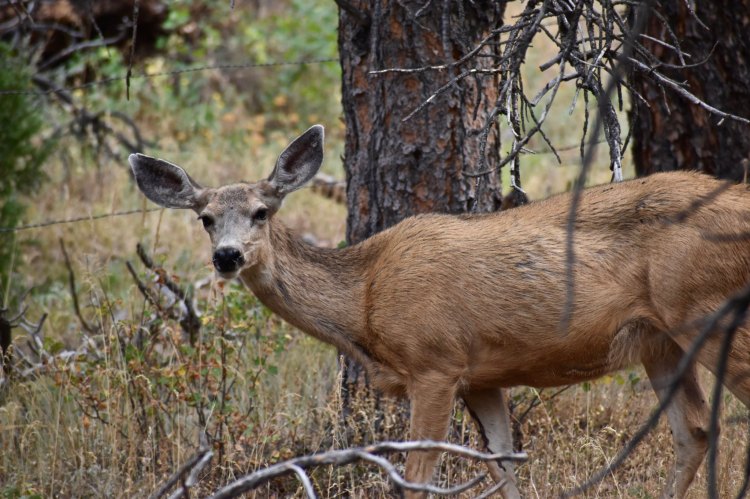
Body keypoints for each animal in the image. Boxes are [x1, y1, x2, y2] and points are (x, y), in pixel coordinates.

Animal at [129, 125, 750, 498]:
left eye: (261, 211)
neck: (364, 299)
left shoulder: (435, 363)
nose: (227, 256)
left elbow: (414, 479)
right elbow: (504, 466)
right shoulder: (483, 377)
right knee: (695, 431)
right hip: (660, 340)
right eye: (206, 218)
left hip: (712, 312)